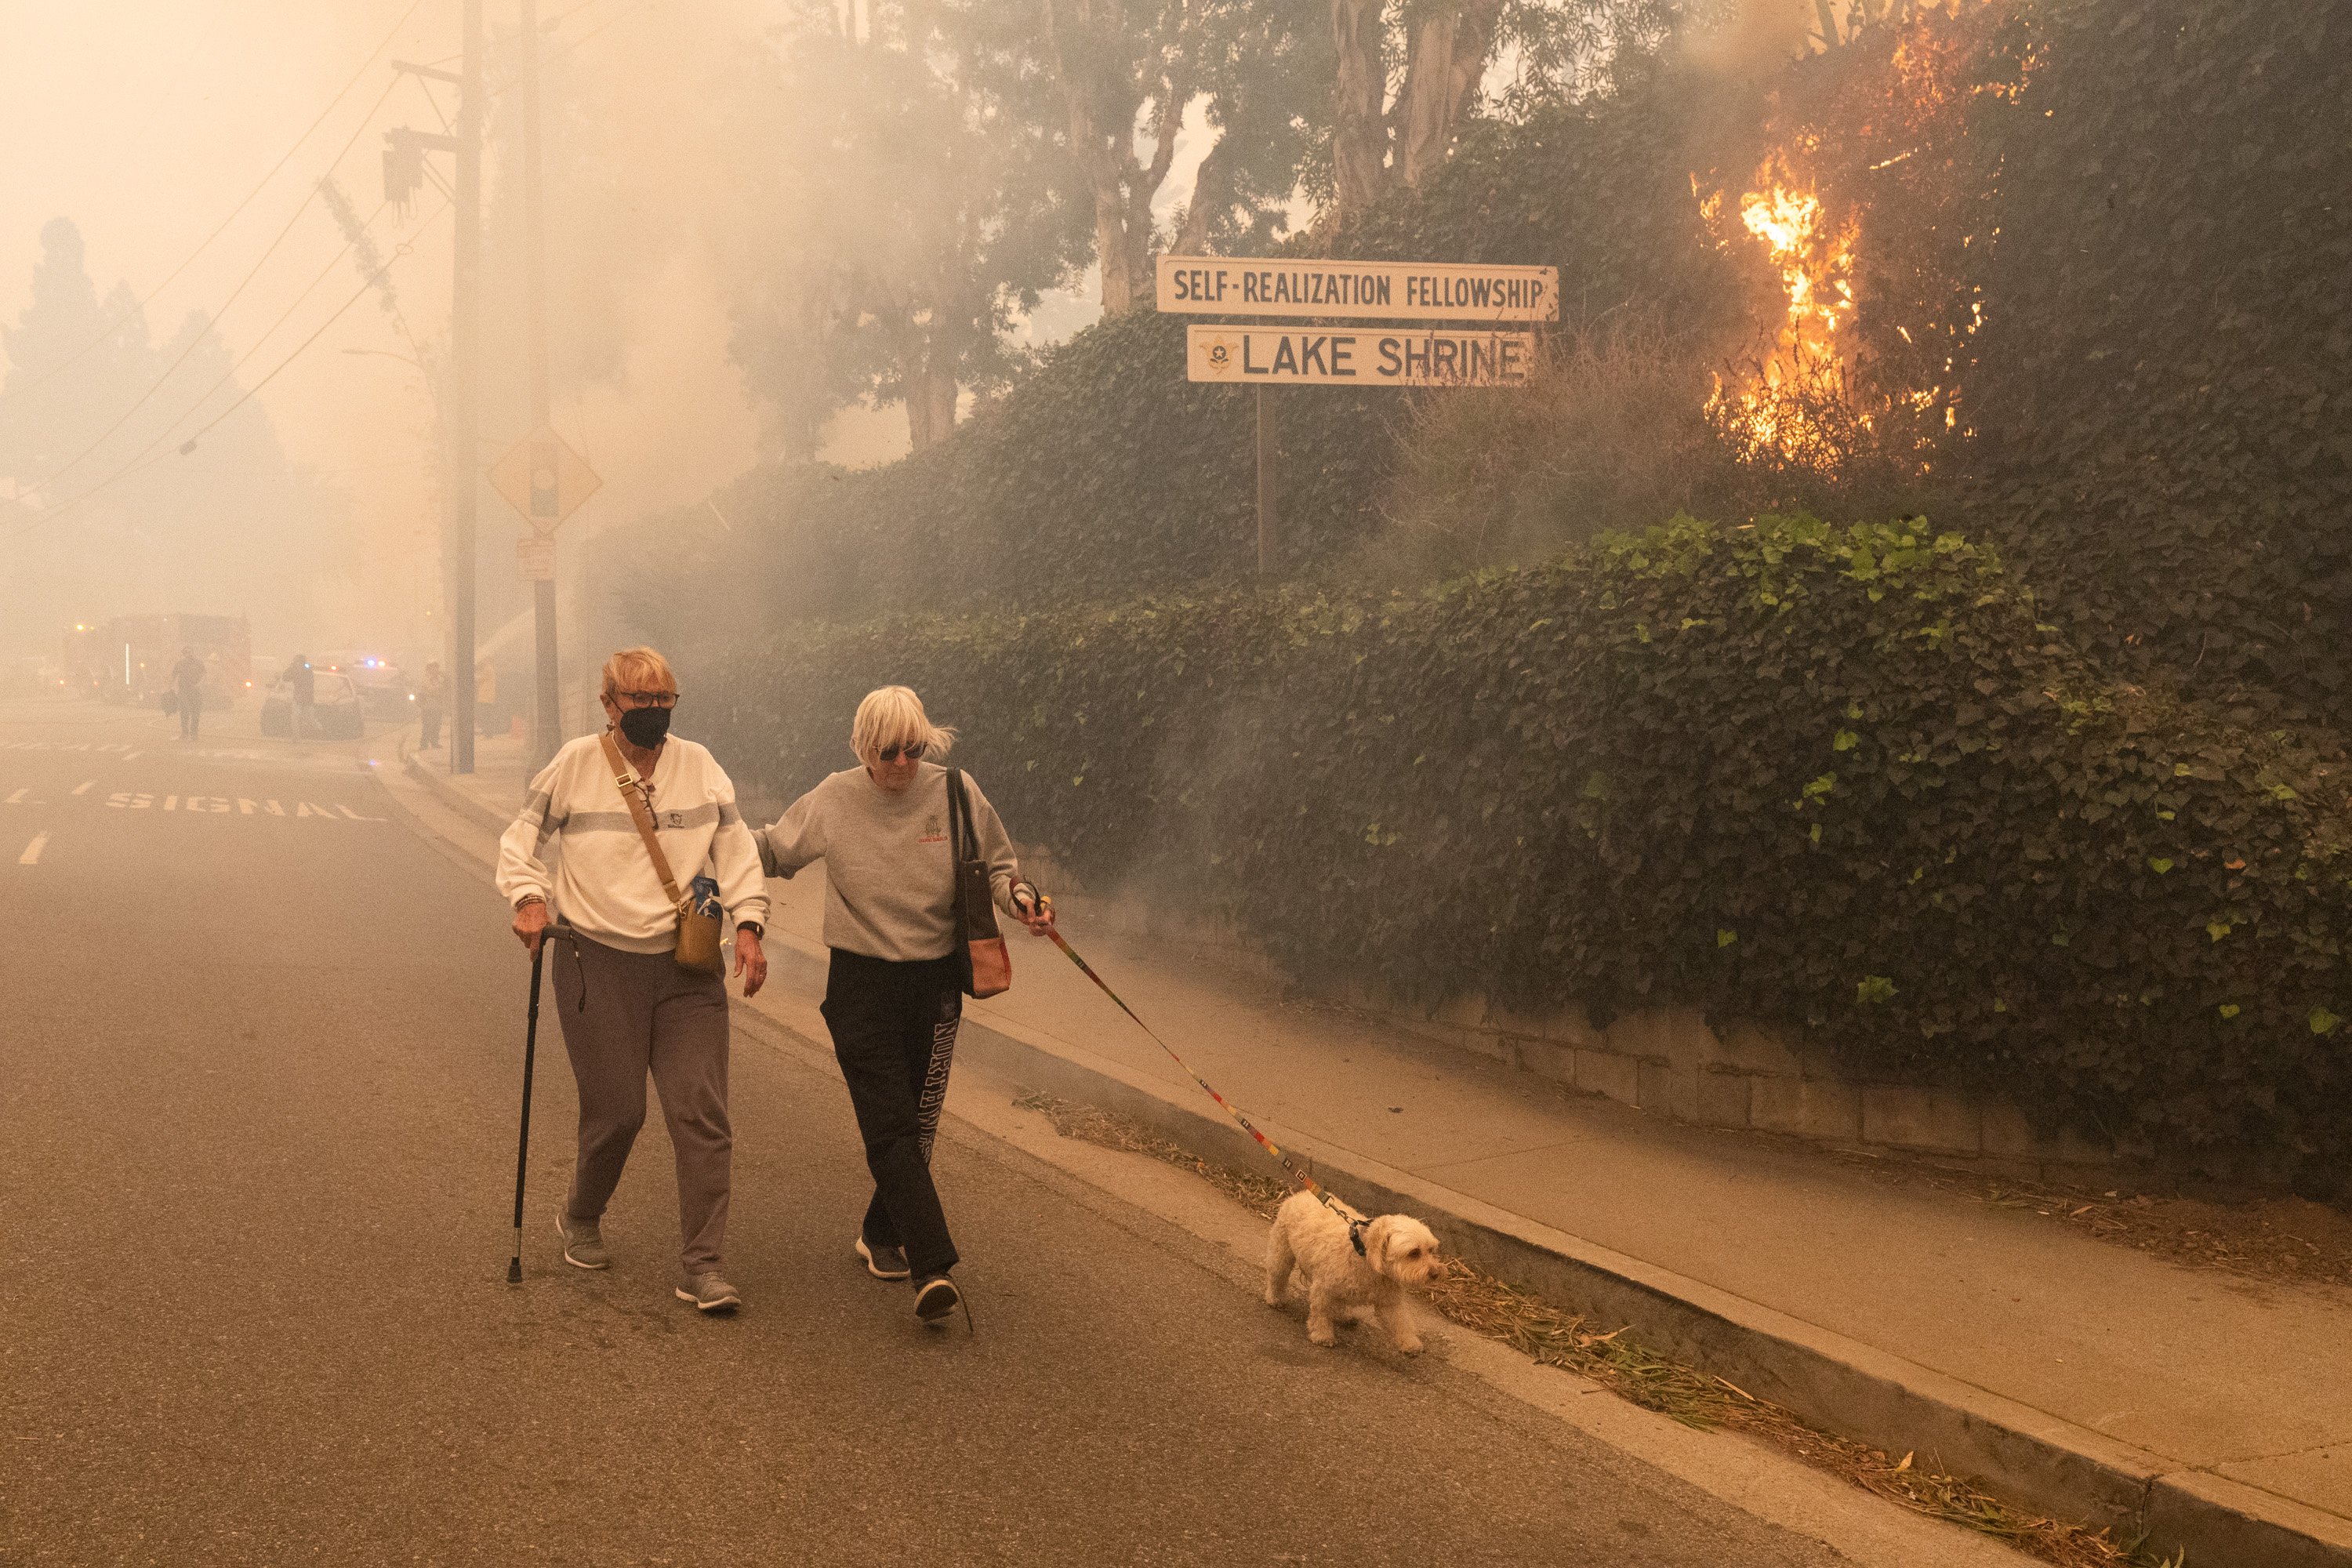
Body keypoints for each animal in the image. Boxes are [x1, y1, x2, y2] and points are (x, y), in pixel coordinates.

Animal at [1261, 1189, 1439, 1354]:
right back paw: (1275, 1298)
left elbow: (1401, 1322)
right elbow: (1321, 1313)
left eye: (1431, 1250)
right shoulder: (1324, 1289)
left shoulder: (1389, 1302)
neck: (1364, 1256)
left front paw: (1410, 1343)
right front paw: (1322, 1335)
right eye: (1414, 1253)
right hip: (1282, 1252)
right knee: (1277, 1275)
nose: (1436, 1274)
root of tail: (1302, 1193)